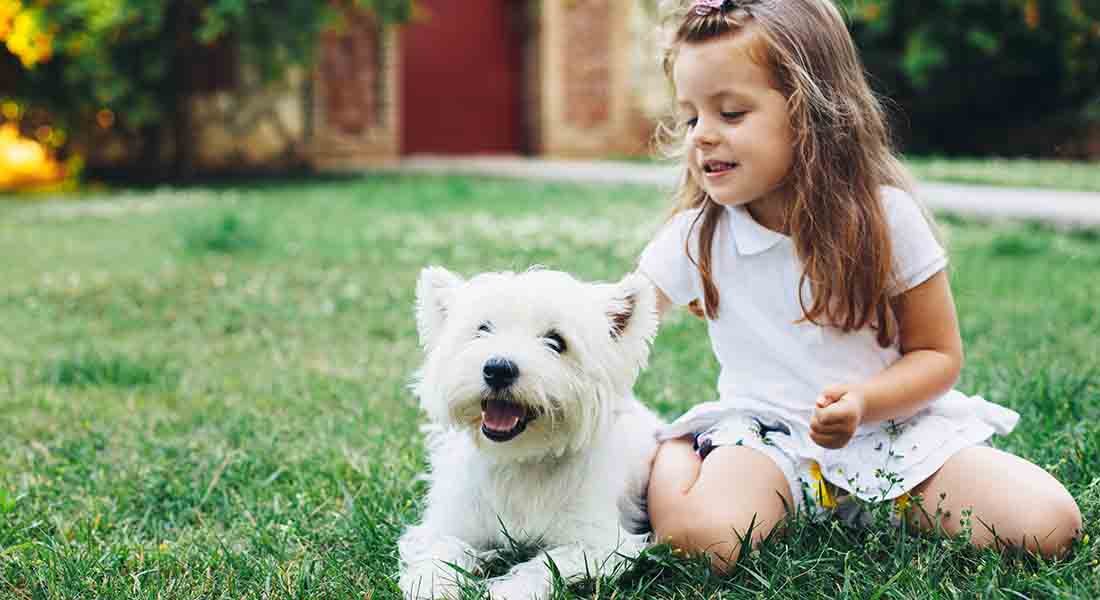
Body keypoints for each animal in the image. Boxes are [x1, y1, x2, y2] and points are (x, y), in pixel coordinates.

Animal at [398, 267, 660, 598]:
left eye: (556, 341)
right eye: (482, 329)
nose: (498, 368)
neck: (519, 461)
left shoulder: (601, 544)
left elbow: (545, 564)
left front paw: (509, 591)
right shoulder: (450, 525)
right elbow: (440, 553)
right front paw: (433, 586)